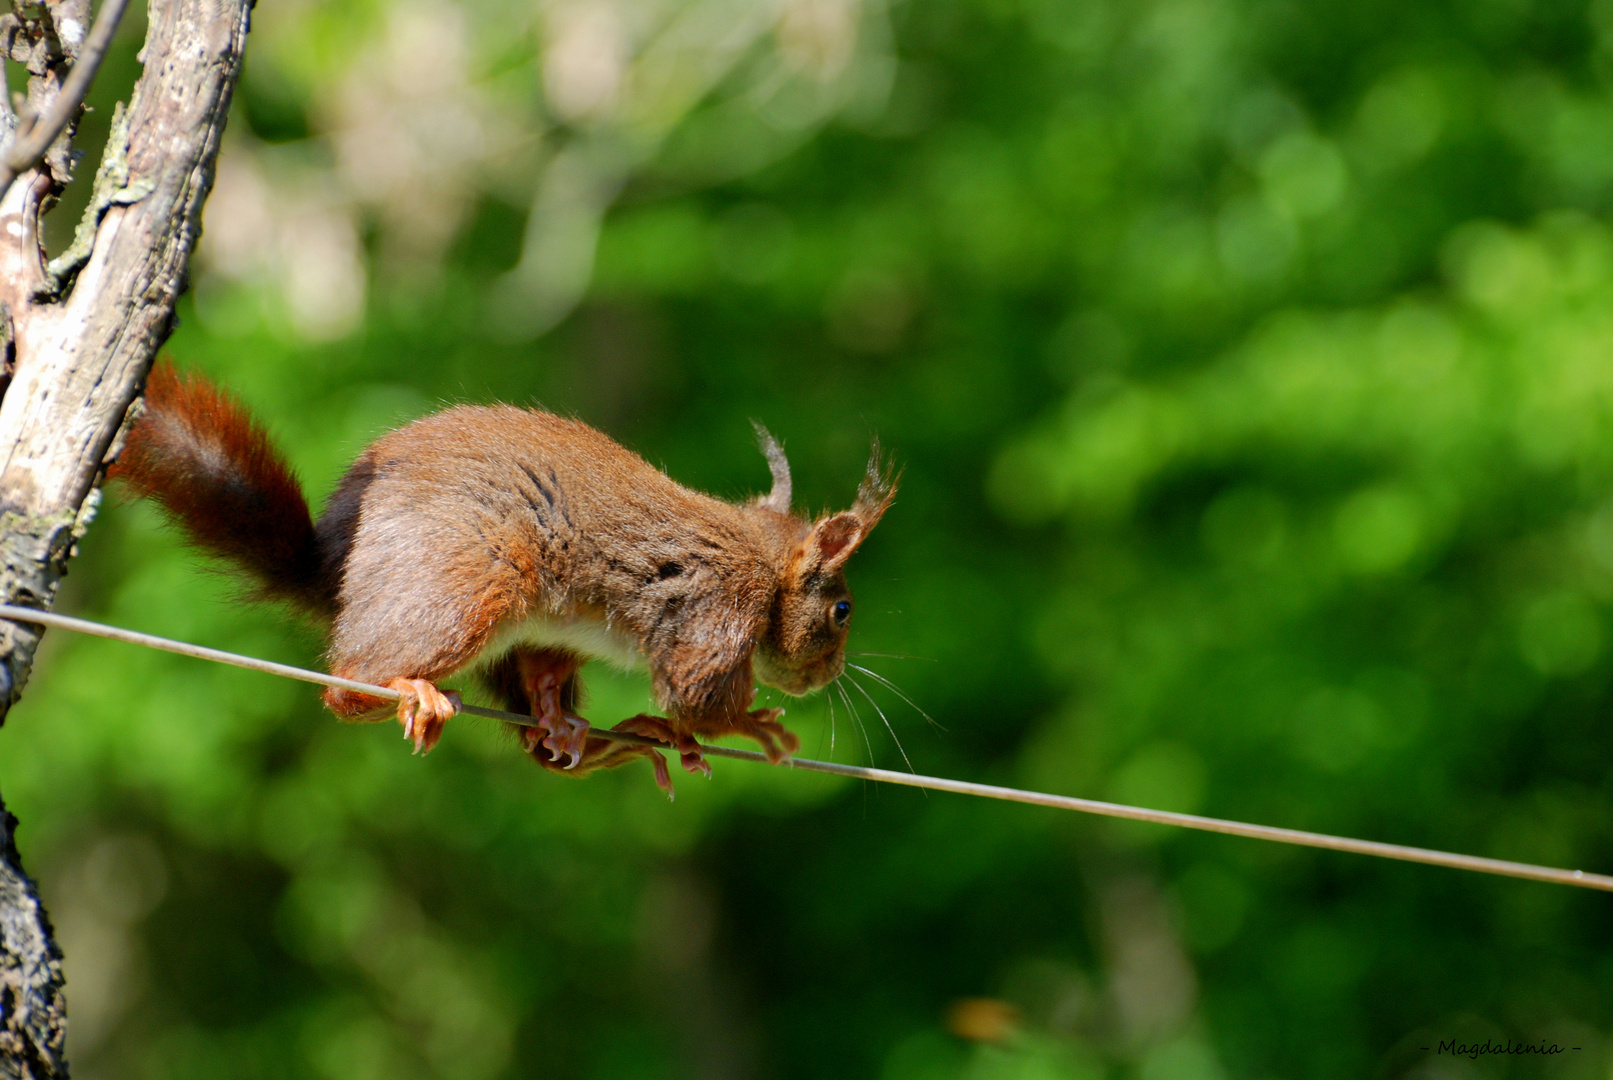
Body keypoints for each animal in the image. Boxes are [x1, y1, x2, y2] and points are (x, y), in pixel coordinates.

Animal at [108, 364, 903, 796]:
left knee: (540, 729)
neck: (762, 562)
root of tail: (334, 571)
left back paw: (598, 736)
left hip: (524, 637)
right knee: (348, 684)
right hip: (467, 584)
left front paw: (661, 731)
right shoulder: (719, 601)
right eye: (841, 610)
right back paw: (410, 690)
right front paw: (753, 725)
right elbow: (696, 695)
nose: (828, 676)